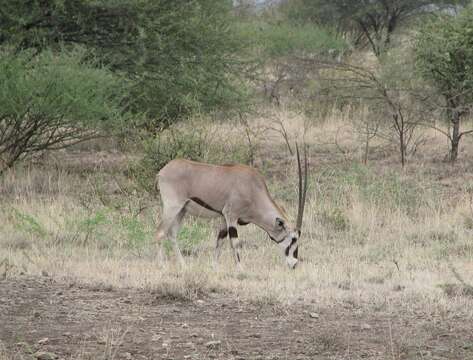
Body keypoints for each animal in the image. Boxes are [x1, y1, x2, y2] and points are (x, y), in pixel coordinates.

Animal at [157, 145, 308, 268]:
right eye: (293, 239)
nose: (294, 264)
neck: (253, 188)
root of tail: (162, 171)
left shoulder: (224, 218)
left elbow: (220, 240)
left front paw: (215, 267)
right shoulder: (231, 216)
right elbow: (234, 242)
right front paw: (241, 268)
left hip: (182, 210)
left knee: (172, 233)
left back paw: (183, 265)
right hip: (172, 207)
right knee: (160, 232)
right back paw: (162, 265)